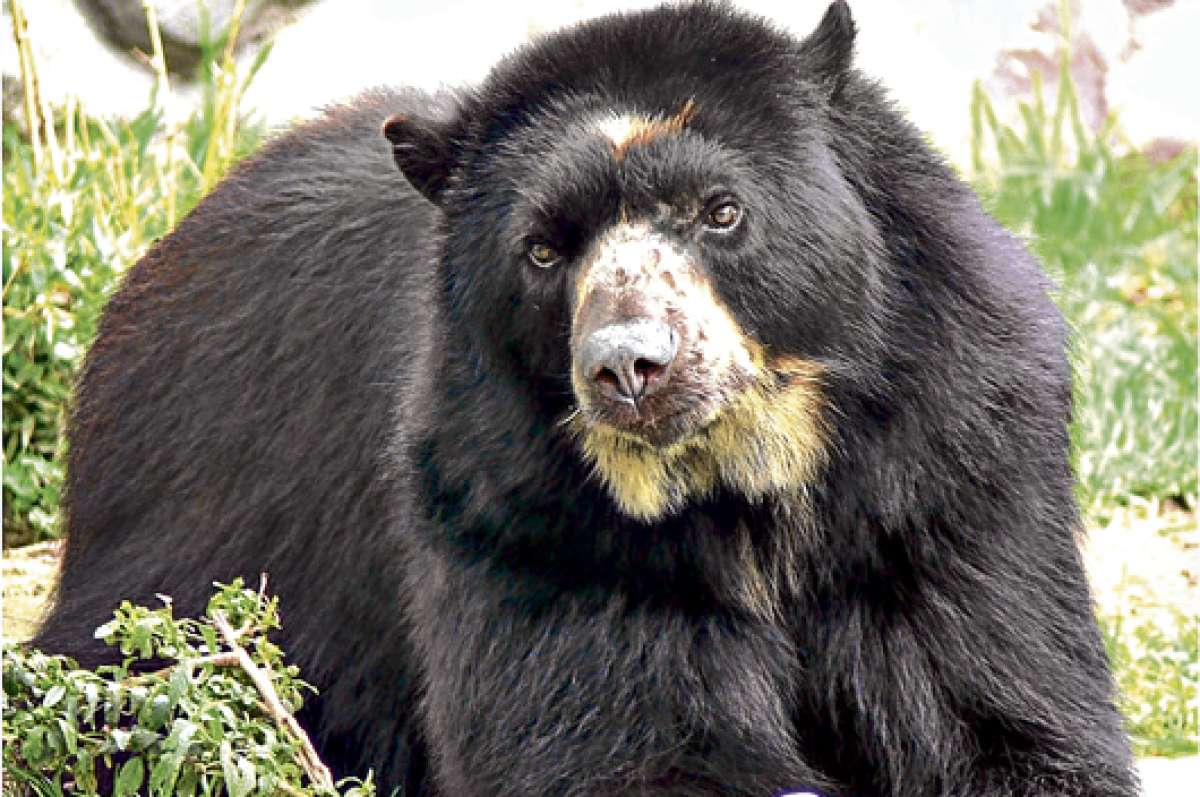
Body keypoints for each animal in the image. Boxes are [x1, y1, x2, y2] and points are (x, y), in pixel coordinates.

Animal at [34, 2, 1138, 795]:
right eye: (542, 249)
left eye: (720, 211)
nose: (629, 368)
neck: (749, 481)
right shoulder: (525, 515)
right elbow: (618, 744)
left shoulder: (949, 471)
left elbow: (999, 712)